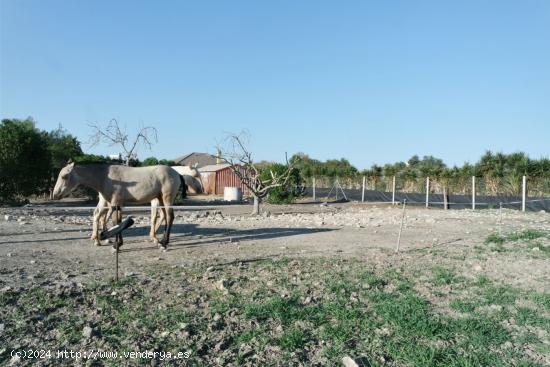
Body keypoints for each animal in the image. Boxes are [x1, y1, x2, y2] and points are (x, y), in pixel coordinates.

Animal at [53, 163, 185, 252]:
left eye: (64, 176)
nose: (55, 194)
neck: (106, 177)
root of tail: (176, 173)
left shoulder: (115, 203)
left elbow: (116, 222)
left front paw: (116, 245)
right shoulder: (116, 205)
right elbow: (117, 222)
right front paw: (116, 244)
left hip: (167, 199)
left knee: (170, 217)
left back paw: (163, 243)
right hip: (161, 199)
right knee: (166, 217)